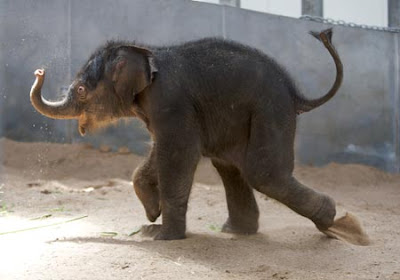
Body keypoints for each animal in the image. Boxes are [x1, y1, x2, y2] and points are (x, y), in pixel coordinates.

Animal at [32, 28, 344, 240]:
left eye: (81, 90)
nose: (39, 71)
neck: (146, 52)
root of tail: (296, 94)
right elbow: (159, 151)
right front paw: (151, 217)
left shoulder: (170, 101)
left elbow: (178, 152)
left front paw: (160, 236)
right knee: (230, 167)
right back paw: (236, 231)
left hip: (271, 111)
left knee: (263, 173)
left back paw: (332, 223)